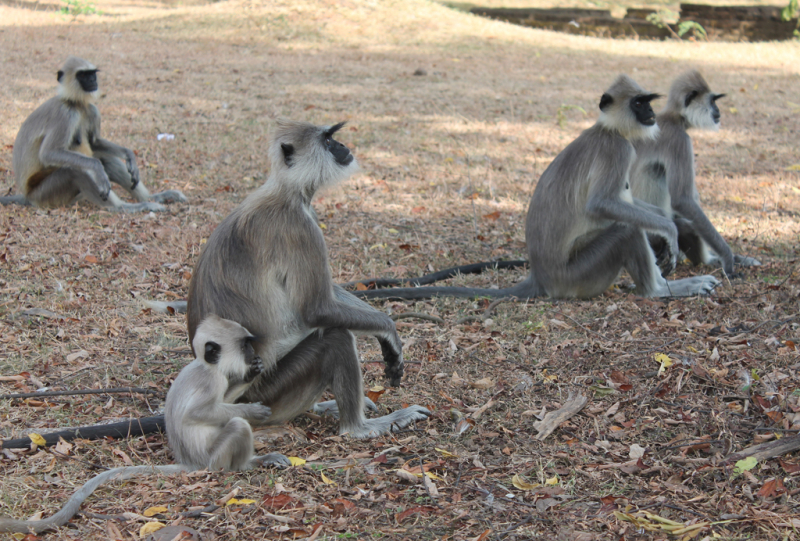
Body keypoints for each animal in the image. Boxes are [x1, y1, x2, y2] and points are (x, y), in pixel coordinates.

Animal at [0, 314, 286, 532]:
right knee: (236, 428)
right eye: (245, 346)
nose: (252, 354)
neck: (207, 367)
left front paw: (250, 374)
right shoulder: (209, 381)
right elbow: (196, 414)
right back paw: (247, 464)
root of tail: (191, 463)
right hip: (214, 461)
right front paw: (251, 409)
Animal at [1, 56, 188, 211]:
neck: (76, 104)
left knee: (105, 159)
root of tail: (27, 196)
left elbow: (94, 143)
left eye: (92, 74)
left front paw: (129, 156)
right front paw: (97, 168)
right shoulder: (65, 114)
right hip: (44, 195)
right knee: (77, 171)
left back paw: (153, 197)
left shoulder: (92, 110)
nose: (92, 80)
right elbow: (49, 153)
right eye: (83, 75)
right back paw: (127, 207)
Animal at [186, 119, 432, 438]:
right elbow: (317, 309)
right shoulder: (300, 229)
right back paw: (359, 427)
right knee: (336, 337)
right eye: (327, 140)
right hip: (269, 394)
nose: (343, 146)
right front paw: (388, 330)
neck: (287, 193)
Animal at [350, 75, 720, 302]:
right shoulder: (618, 150)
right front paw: (668, 229)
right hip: (577, 276)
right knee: (626, 230)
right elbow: (601, 205)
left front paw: (666, 226)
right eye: (640, 103)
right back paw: (660, 290)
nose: (652, 113)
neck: (608, 130)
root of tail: (541, 277)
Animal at [632, 69, 764, 276]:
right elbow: (683, 200)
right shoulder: (680, 140)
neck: (674, 118)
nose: (718, 111)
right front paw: (728, 259)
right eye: (713, 101)